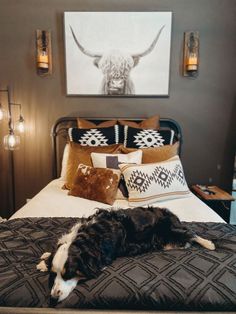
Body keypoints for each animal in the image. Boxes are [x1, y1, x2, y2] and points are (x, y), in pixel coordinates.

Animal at [37, 206, 216, 302]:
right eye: (53, 275)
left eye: (69, 274)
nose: (53, 298)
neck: (87, 238)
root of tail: (171, 214)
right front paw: (45, 258)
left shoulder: (104, 257)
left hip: (171, 229)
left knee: (190, 233)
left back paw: (209, 244)